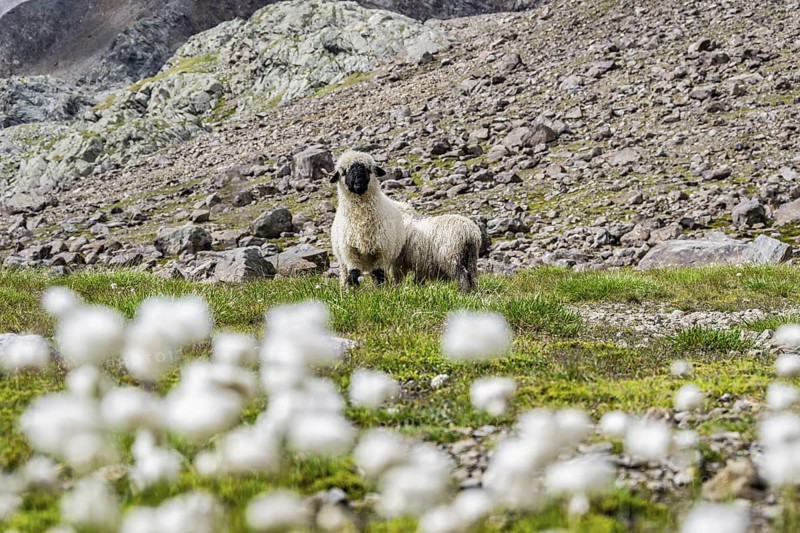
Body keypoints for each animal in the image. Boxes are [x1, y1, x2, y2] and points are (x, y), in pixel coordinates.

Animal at [329, 150, 405, 288]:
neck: (361, 220)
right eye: (344, 172)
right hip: (341, 260)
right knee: (344, 274)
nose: (359, 184)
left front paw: (381, 290)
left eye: (368, 170)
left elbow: (379, 275)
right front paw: (352, 290)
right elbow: (353, 274)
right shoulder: (350, 252)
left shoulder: (381, 251)